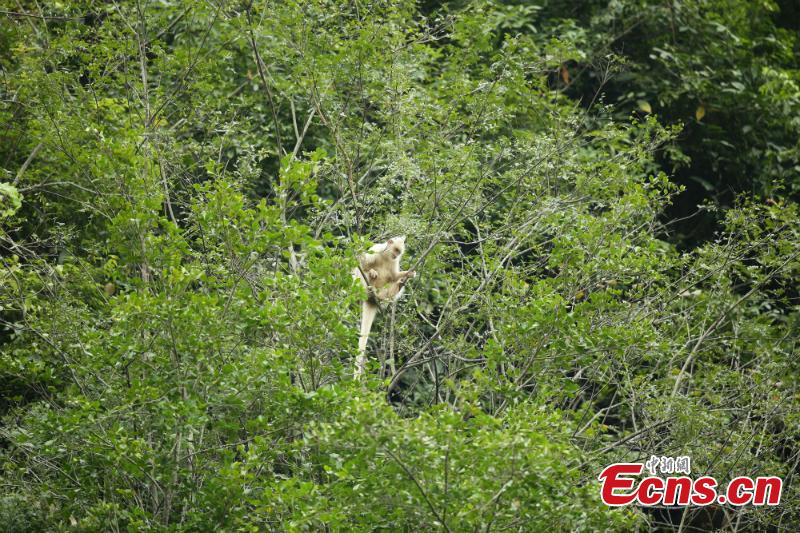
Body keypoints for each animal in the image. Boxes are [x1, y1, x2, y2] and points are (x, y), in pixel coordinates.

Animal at [352, 236, 415, 379]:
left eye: (399, 252)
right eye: (396, 250)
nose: (396, 255)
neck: (387, 256)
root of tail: (372, 301)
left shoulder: (394, 262)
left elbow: (395, 275)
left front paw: (409, 274)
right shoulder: (376, 250)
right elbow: (362, 264)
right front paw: (370, 269)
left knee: (394, 282)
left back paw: (395, 288)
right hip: (361, 287)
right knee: (363, 273)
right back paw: (371, 287)